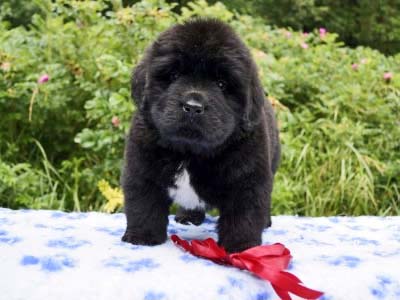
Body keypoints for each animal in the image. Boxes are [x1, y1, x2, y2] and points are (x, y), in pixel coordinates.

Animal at [122, 18, 282, 253]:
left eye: (222, 84)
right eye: (174, 75)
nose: (193, 106)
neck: (190, 152)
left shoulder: (247, 180)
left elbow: (244, 216)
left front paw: (241, 247)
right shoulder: (142, 170)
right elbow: (143, 206)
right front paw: (142, 237)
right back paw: (188, 216)